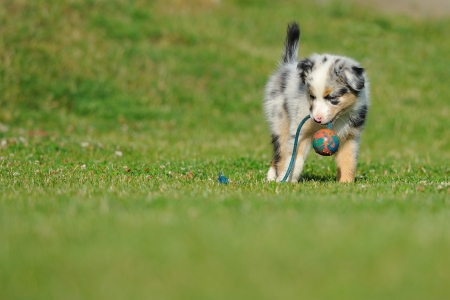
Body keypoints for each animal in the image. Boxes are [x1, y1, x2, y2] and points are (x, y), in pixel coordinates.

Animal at [264, 22, 370, 182]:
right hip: (279, 120)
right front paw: (285, 181)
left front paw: (346, 183)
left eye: (332, 98)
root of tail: (287, 65)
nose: (317, 119)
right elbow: (294, 158)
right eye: (312, 96)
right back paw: (272, 178)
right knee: (279, 153)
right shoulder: (300, 130)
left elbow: (348, 161)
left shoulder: (351, 136)